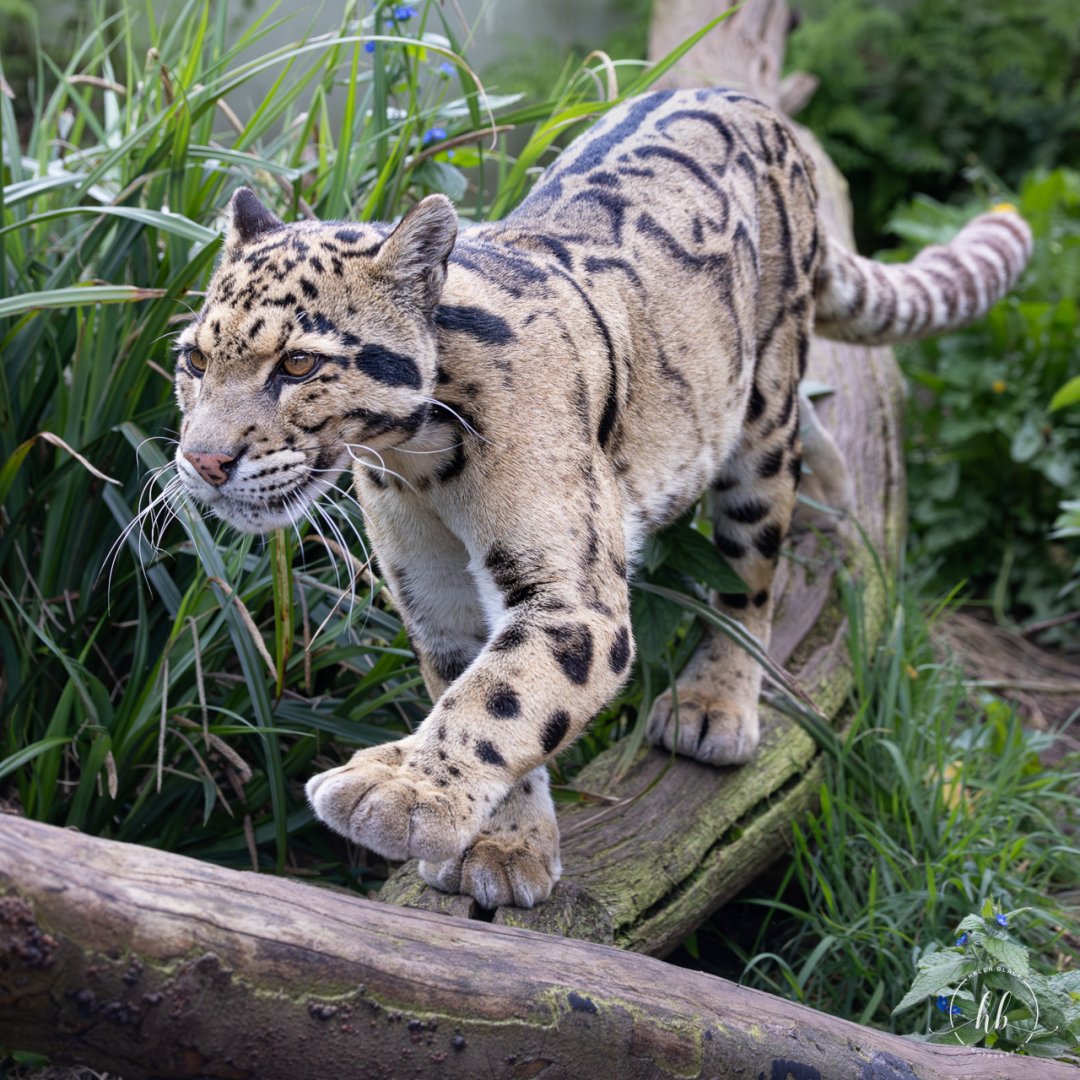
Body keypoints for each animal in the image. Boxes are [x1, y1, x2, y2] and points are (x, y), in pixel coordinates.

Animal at [172, 87, 1032, 910]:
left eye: (298, 364)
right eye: (194, 360)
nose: (202, 461)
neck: (418, 467)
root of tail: (755, 106)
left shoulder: (570, 590)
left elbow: (503, 694)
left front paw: (398, 792)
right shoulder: (435, 596)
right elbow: (481, 686)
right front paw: (506, 847)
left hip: (761, 412)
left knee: (750, 568)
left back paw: (715, 703)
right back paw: (835, 497)